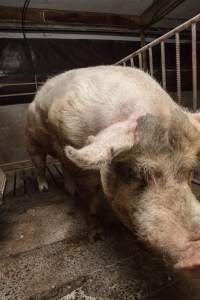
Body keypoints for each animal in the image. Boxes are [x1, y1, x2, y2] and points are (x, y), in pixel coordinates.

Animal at [26, 65, 200, 276]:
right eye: (136, 173)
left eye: (190, 170)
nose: (196, 257)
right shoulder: (80, 165)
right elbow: (90, 201)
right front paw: (96, 237)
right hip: (31, 139)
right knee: (40, 164)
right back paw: (44, 188)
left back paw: (70, 191)